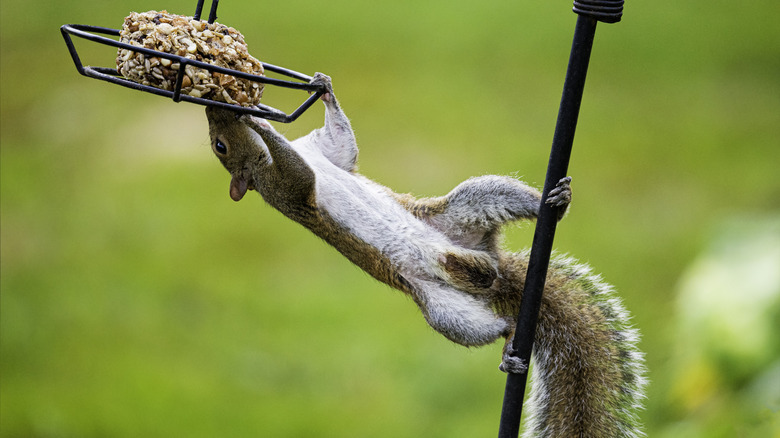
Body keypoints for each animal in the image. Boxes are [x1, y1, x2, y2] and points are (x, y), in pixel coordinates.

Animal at [204, 73, 644, 436]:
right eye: (220, 146)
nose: (213, 106)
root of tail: (492, 272)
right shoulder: (287, 191)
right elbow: (300, 174)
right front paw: (263, 124)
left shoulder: (324, 152)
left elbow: (341, 145)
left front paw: (319, 89)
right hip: (445, 311)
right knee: (495, 326)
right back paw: (508, 351)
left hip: (479, 199)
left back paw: (557, 200)